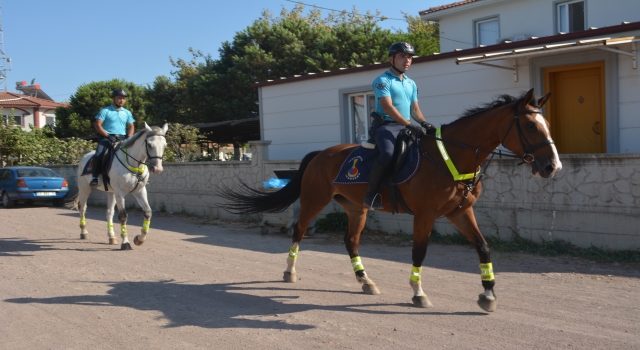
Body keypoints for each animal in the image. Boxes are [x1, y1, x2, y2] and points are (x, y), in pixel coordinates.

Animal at [220, 89, 560, 312]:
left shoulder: (461, 212)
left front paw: (488, 294)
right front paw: (418, 293)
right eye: (530, 125)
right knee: (298, 232)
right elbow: (420, 253)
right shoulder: (425, 214)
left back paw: (365, 281)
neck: (450, 156)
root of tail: (321, 154)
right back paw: (289, 272)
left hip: (356, 208)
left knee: (351, 242)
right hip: (313, 202)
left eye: (546, 125)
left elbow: (483, 247)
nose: (552, 166)